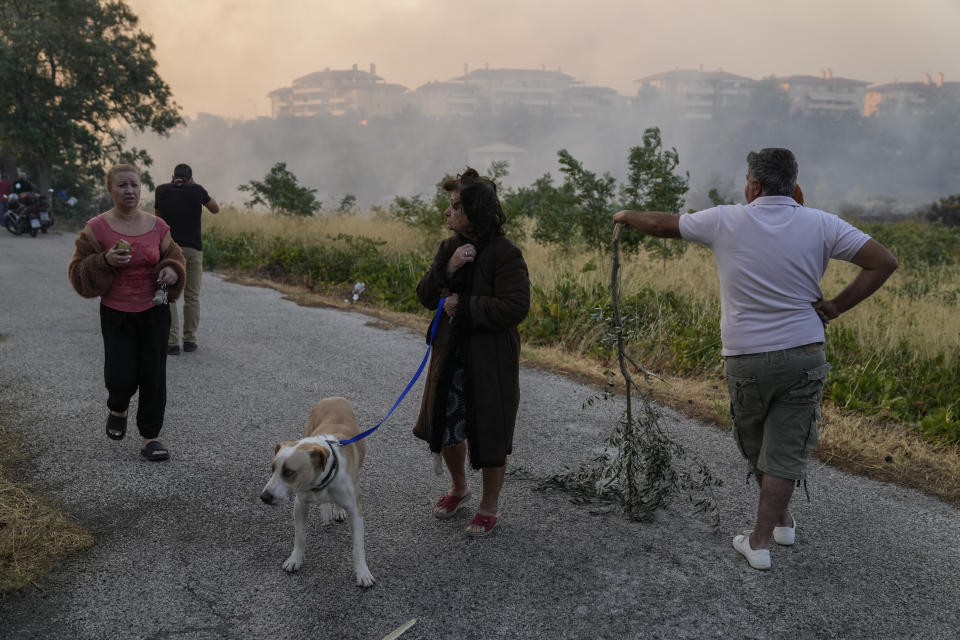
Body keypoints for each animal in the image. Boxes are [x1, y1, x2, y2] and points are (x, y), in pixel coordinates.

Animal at [258, 398, 376, 588]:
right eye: (272, 468)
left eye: (289, 472)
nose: (264, 497)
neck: (320, 482)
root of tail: (333, 397)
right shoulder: (300, 504)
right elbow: (300, 536)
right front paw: (295, 560)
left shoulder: (355, 511)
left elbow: (358, 546)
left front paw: (363, 573)